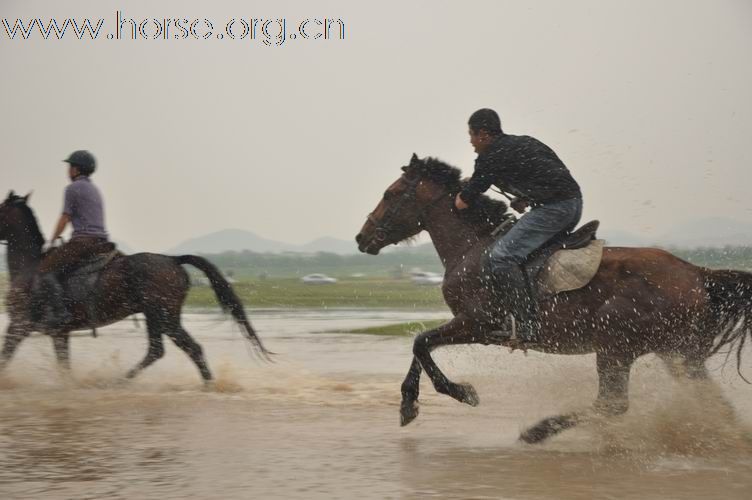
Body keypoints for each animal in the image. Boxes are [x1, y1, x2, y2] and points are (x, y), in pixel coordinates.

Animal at [0, 193, 270, 380]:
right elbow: (63, 366)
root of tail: (173, 259)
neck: (29, 267)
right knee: (170, 349)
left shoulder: (19, 325)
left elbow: (5, 358)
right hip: (160, 317)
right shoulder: (59, 333)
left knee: (175, 349)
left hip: (162, 316)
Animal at [356, 155, 748, 442]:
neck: (474, 247)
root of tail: (698, 274)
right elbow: (421, 348)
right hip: (678, 353)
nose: (362, 238)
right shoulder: (471, 326)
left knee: (613, 404)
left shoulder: (478, 324)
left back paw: (537, 431)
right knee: (711, 402)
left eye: (391, 194)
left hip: (616, 346)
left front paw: (461, 393)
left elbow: (421, 343)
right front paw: (409, 406)